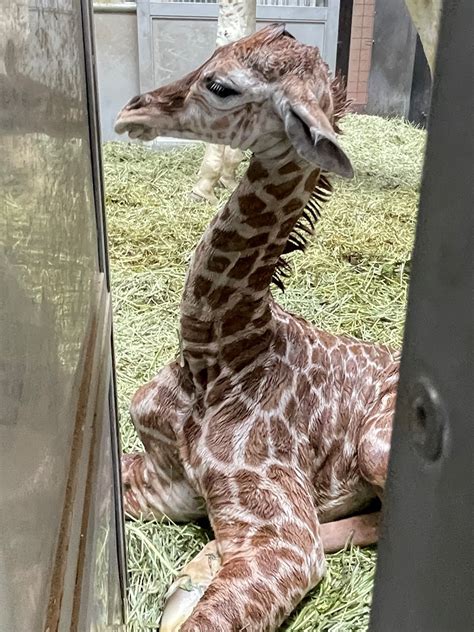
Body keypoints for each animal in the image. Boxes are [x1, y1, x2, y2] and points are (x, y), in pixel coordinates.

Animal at [116, 24, 398, 632]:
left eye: (220, 85)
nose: (130, 111)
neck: (215, 358)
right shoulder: (160, 482)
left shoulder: (284, 540)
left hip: (374, 446)